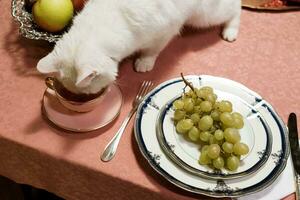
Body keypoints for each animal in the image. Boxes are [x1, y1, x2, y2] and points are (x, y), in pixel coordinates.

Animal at [37, 0, 241, 94]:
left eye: (89, 91)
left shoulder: (165, 32)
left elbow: (152, 51)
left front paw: (144, 62)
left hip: (206, 15)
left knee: (236, 8)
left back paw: (230, 31)